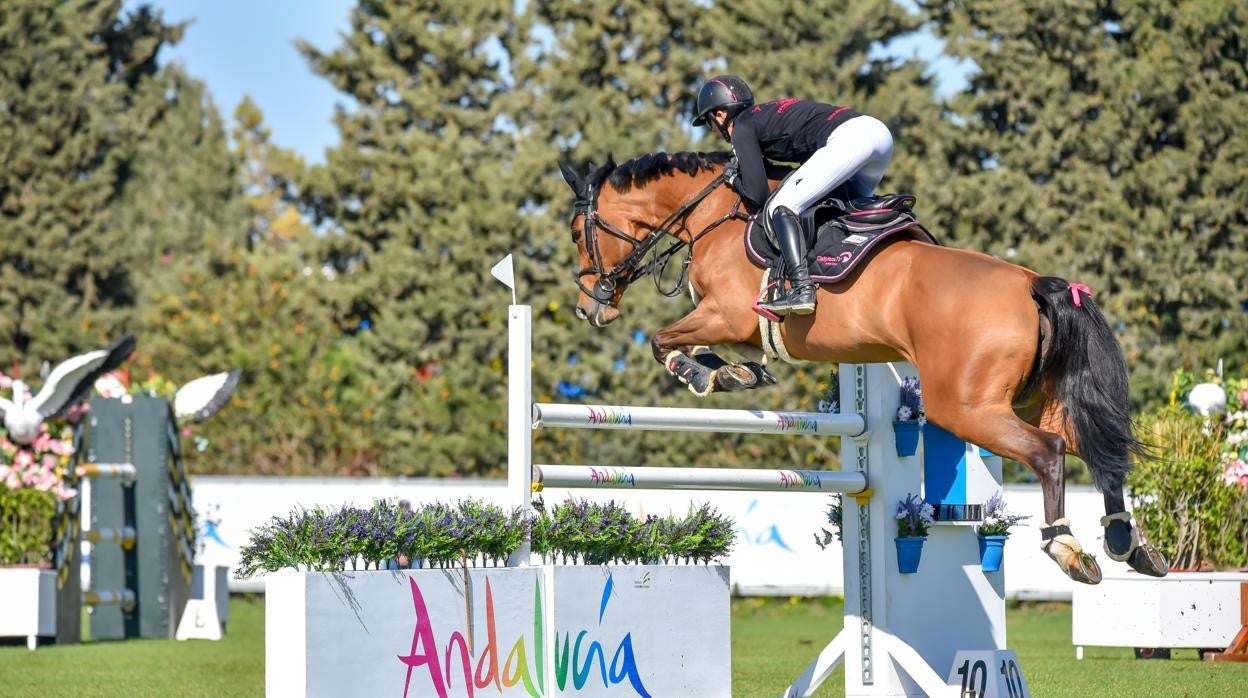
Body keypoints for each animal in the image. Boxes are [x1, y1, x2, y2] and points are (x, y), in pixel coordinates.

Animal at [561, 151, 1163, 584]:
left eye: (575, 232)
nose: (589, 307)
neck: (714, 217)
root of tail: (1034, 284)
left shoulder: (725, 313)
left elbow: (662, 341)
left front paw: (704, 373)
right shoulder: (737, 326)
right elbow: (719, 352)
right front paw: (735, 374)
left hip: (965, 406)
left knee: (1050, 452)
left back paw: (1068, 548)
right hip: (1028, 401)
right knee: (1096, 450)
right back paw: (1128, 545)